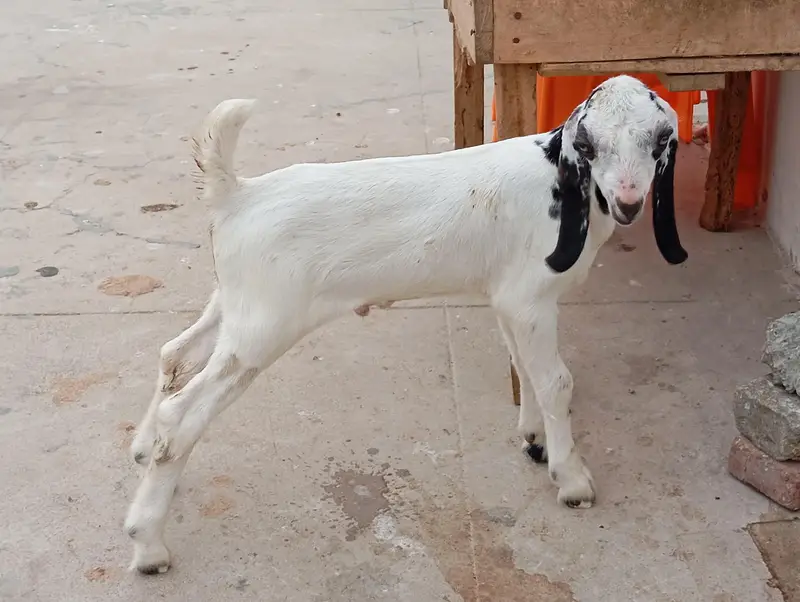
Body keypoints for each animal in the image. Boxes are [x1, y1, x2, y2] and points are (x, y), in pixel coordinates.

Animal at [124, 75, 687, 574]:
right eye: (588, 144)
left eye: (661, 139)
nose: (630, 202)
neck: (561, 187)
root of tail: (235, 193)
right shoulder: (531, 300)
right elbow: (556, 381)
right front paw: (572, 480)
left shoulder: (510, 300)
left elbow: (523, 367)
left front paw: (535, 439)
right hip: (263, 329)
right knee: (182, 416)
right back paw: (148, 543)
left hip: (235, 306)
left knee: (174, 353)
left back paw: (144, 451)